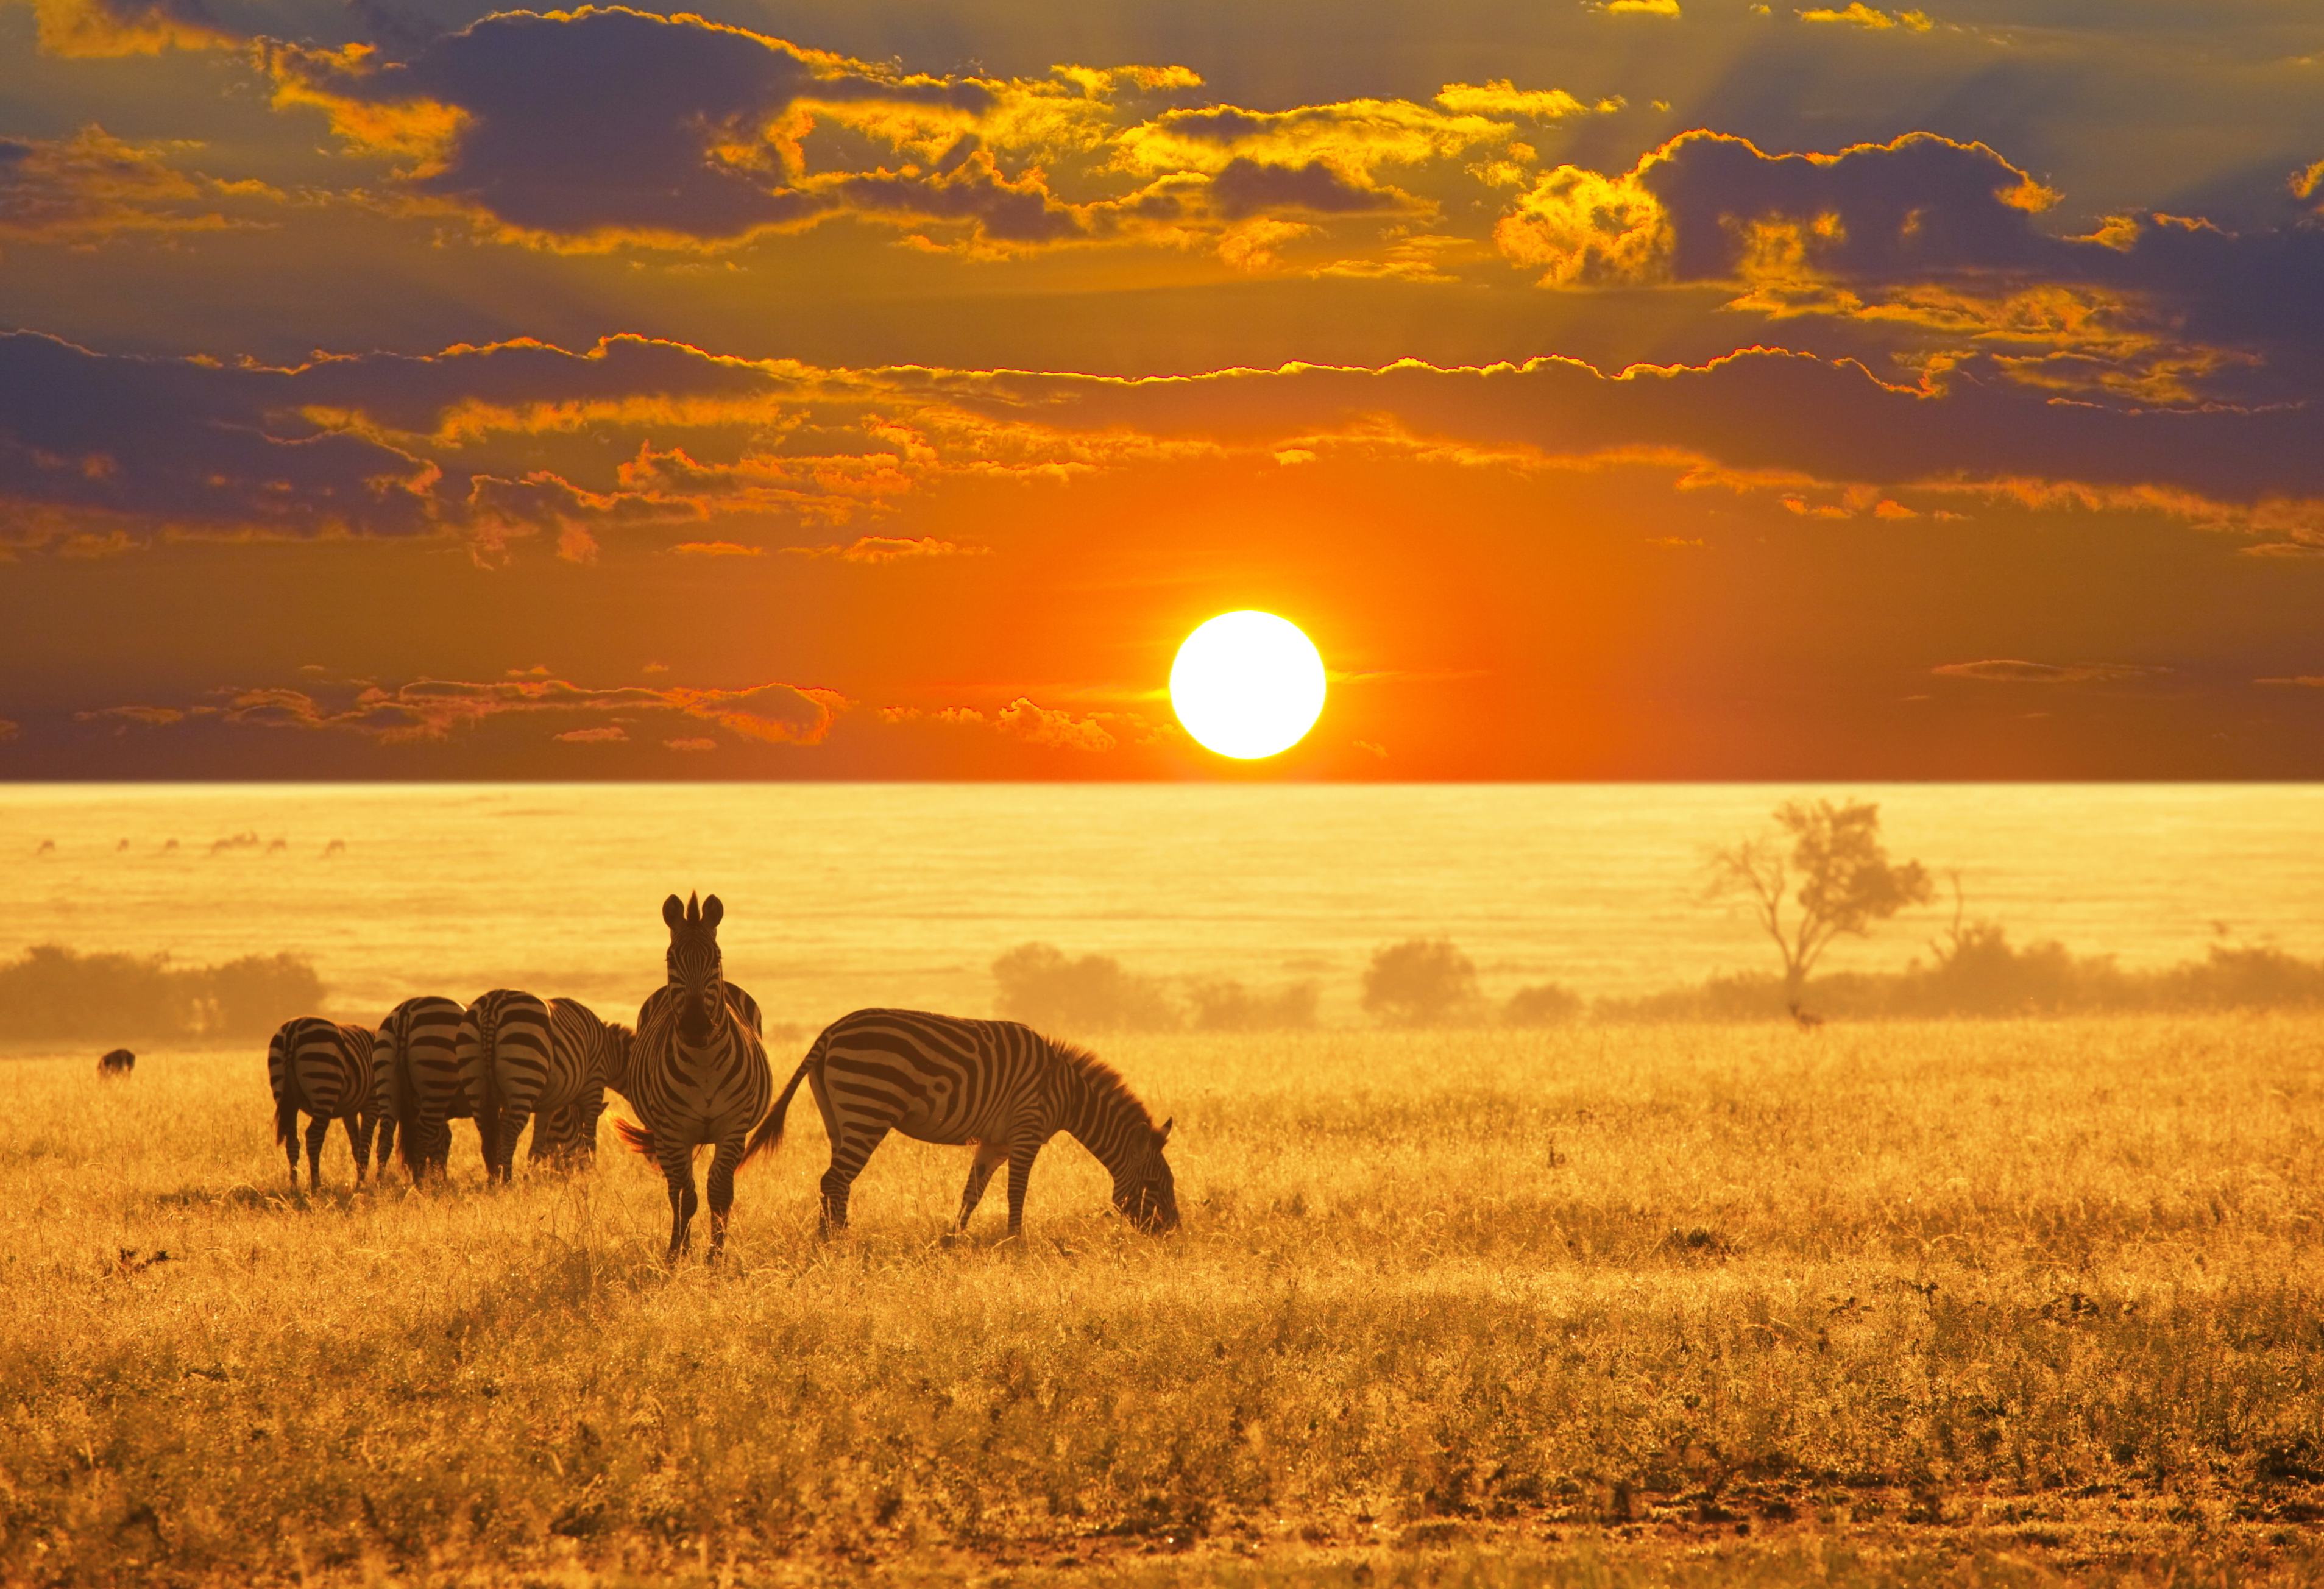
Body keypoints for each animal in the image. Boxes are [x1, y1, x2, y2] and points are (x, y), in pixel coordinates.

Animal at [268, 1016, 381, 1190]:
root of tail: (293, 1031)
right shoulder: (371, 1104)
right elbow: (365, 1146)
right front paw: (361, 1185)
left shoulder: (350, 1112)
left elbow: (356, 1146)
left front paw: (359, 1181)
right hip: (324, 1087)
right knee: (313, 1137)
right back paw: (316, 1185)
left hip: (284, 1096)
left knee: (292, 1141)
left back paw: (294, 1187)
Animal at [371, 995, 476, 1181]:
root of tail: (406, 1010)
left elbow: (441, 1141)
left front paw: (438, 1179)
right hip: (437, 1082)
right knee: (420, 1137)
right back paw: (419, 1183)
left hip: (387, 1083)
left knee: (385, 1137)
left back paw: (380, 1183)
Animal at [458, 989, 554, 1183]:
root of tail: (493, 1003)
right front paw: (526, 1176)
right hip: (524, 1073)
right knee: (509, 1134)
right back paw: (507, 1181)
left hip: (473, 1077)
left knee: (487, 1134)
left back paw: (493, 1180)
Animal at [613, 893, 772, 1261]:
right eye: (671, 959)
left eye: (716, 958)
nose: (696, 1026)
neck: (705, 1062)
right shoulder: (674, 1131)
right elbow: (688, 1196)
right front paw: (679, 1254)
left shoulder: (733, 1128)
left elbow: (720, 1194)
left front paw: (716, 1257)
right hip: (665, 1135)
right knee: (675, 1189)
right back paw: (677, 1246)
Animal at [740, 1008, 1179, 1238]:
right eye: (1155, 1184)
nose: (1174, 1232)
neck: (1067, 1091)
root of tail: (830, 1031)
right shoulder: (1026, 1131)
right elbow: (1016, 1193)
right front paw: (1015, 1244)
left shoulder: (995, 1142)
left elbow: (973, 1192)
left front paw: (954, 1240)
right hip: (869, 1107)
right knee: (835, 1179)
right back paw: (836, 1242)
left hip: (838, 1117)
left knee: (835, 1181)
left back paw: (831, 1238)